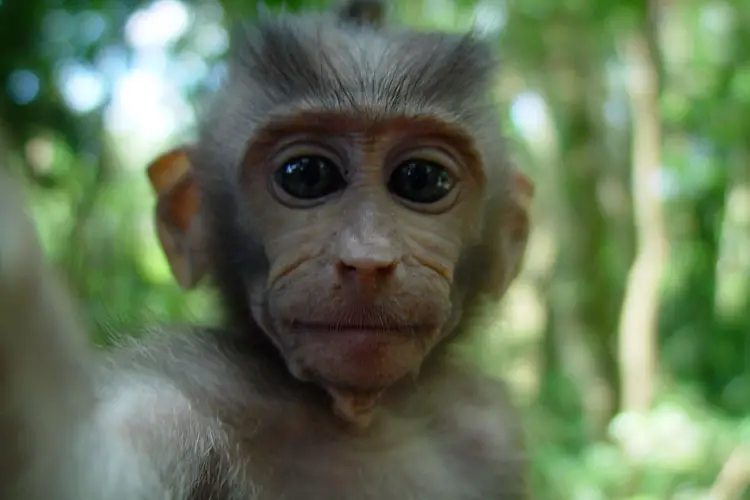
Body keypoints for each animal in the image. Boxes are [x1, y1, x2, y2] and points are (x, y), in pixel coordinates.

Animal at [2, 0, 536, 500]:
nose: (367, 259)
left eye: (421, 179)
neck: (357, 418)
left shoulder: (489, 426)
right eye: (307, 175)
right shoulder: (177, 393)